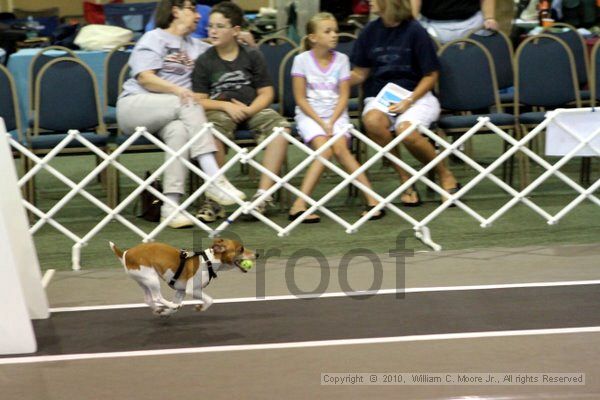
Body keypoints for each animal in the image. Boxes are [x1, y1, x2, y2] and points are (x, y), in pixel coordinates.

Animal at [110, 239, 255, 318]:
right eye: (241, 249)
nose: (257, 254)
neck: (209, 261)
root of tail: (125, 254)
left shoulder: (181, 291)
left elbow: (173, 309)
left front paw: (166, 312)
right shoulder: (192, 290)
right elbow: (210, 300)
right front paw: (200, 307)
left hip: (143, 281)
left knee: (148, 299)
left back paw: (160, 309)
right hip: (151, 278)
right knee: (157, 297)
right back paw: (172, 304)